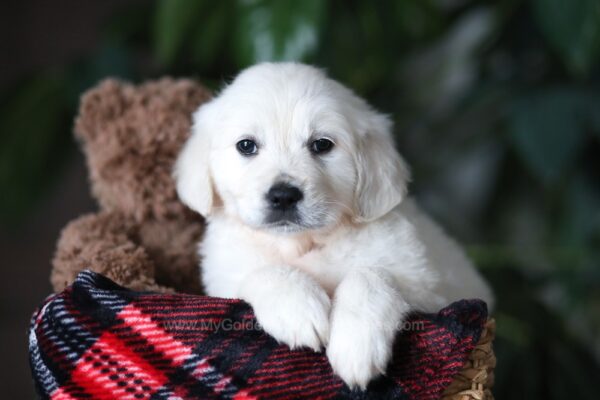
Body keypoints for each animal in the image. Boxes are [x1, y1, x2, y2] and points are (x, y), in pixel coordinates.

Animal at [173, 61, 492, 388]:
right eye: (246, 146)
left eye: (322, 145)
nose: (283, 196)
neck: (302, 243)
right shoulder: (224, 277)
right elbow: (263, 271)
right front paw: (299, 309)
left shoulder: (430, 288)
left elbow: (370, 275)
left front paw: (357, 347)